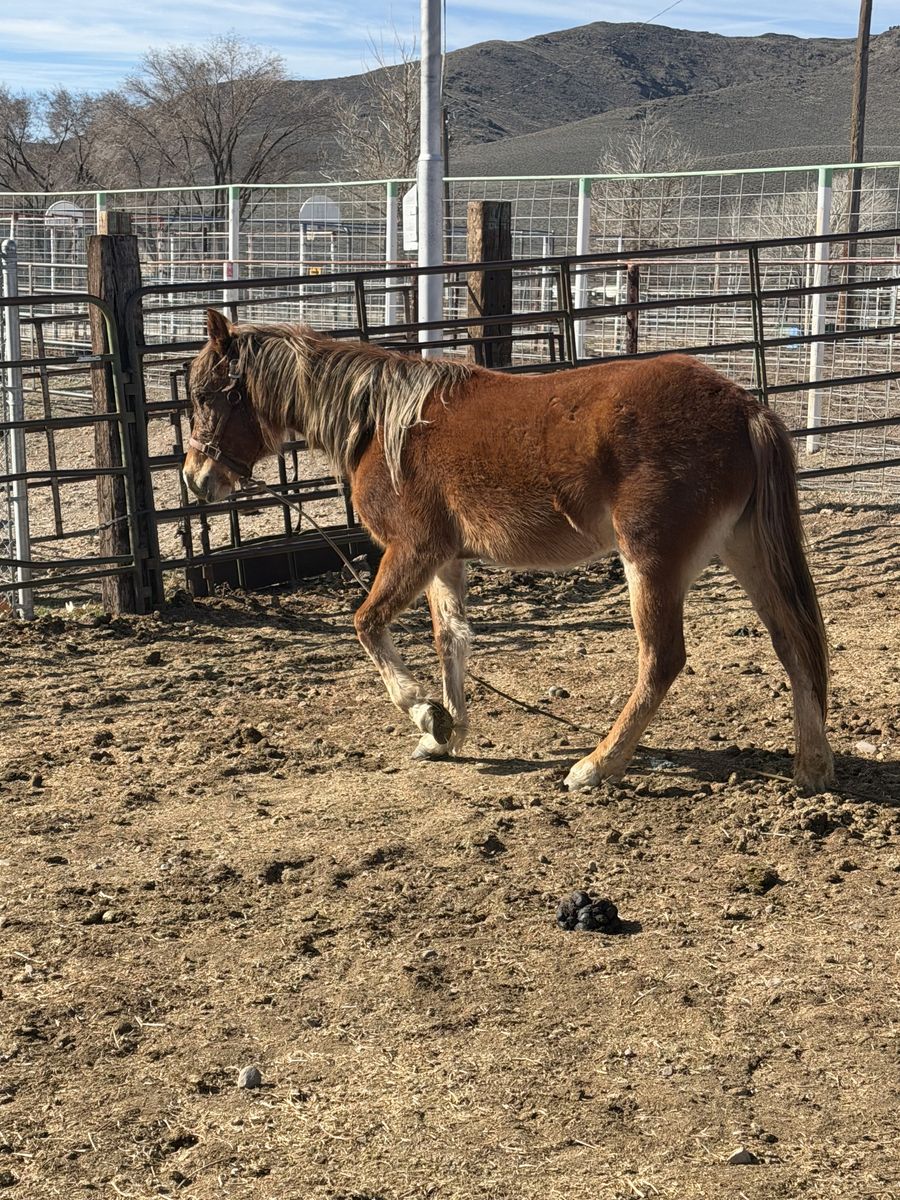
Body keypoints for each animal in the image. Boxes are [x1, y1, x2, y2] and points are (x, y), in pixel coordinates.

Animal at [183, 308, 835, 793]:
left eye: (211, 395)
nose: (195, 478)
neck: (383, 425)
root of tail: (744, 408)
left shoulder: (412, 550)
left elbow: (367, 624)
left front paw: (426, 713)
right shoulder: (444, 559)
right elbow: (451, 640)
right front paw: (443, 733)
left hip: (651, 562)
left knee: (662, 660)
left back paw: (595, 766)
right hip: (744, 550)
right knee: (793, 642)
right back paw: (811, 766)